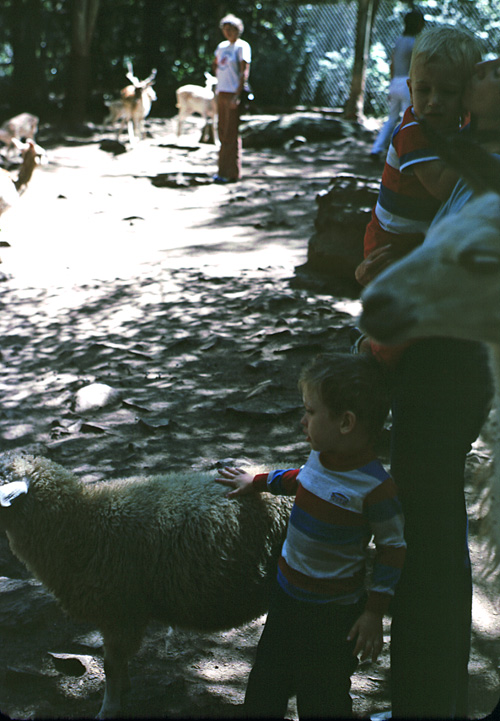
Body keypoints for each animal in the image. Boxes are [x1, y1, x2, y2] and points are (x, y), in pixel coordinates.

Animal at [0, 452, 292, 716]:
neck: (82, 522)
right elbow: (116, 662)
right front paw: (123, 690)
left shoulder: (120, 612)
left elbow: (111, 664)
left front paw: (109, 707)